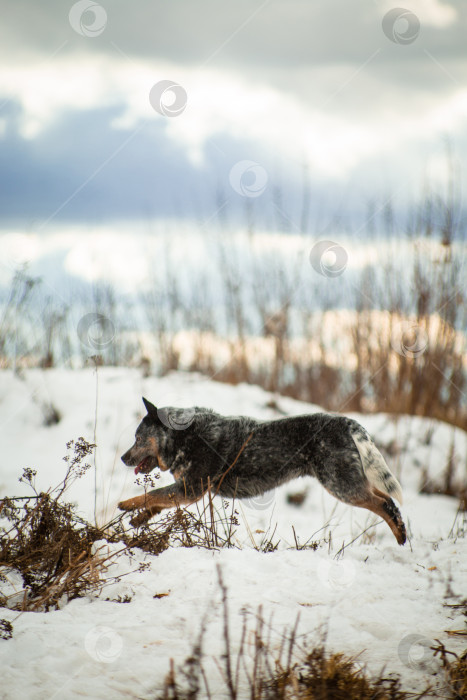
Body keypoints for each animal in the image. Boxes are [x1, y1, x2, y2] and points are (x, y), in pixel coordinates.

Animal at [119, 396, 408, 544]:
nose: (123, 457)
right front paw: (138, 519)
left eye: (138, 438)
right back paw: (401, 531)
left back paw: (400, 534)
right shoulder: (185, 490)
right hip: (348, 481)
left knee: (385, 503)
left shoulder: (191, 489)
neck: (184, 437)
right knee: (385, 498)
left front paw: (124, 505)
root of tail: (346, 422)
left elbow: (151, 495)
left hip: (341, 485)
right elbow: (156, 502)